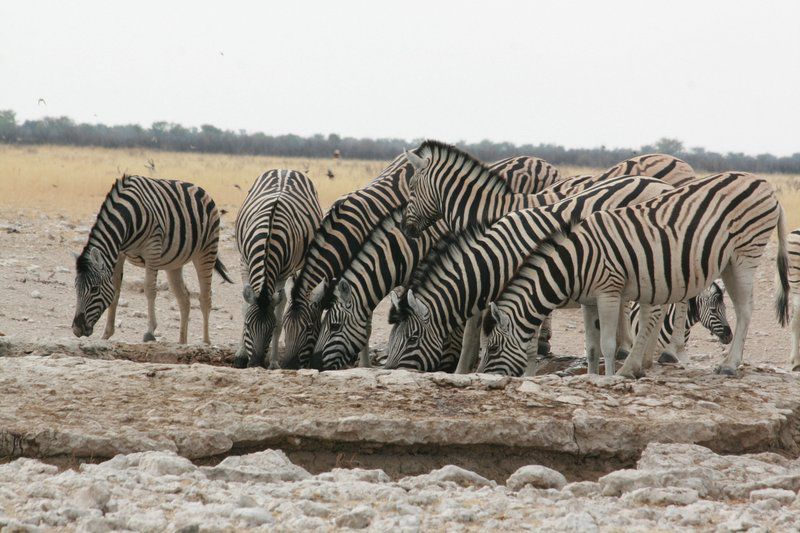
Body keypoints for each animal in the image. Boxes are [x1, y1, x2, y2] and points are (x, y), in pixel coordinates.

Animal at [70, 172, 234, 342]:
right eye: (76, 287)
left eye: (94, 289)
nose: (77, 329)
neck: (127, 216)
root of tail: (203, 191)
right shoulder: (119, 254)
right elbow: (115, 290)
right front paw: (107, 333)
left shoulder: (152, 249)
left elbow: (149, 289)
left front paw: (150, 331)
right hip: (174, 263)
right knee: (185, 300)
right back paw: (182, 343)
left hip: (206, 251)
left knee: (205, 298)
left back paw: (206, 342)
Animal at [236, 168, 324, 368]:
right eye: (247, 326)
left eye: (270, 330)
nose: (255, 365)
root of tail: (286, 169)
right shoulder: (244, 263)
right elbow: (245, 305)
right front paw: (240, 355)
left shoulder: (282, 274)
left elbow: (278, 315)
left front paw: (274, 362)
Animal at [384, 177, 672, 372]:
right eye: (391, 338)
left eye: (412, 339)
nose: (389, 371)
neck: (498, 260)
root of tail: (663, 185)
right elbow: (476, 336)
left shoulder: (529, 291)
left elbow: (522, 343)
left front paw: (524, 374)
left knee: (655, 311)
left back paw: (639, 363)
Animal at [478, 172, 792, 376]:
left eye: (492, 349)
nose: (484, 378)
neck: (575, 261)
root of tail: (765, 186)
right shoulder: (588, 300)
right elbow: (591, 347)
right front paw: (592, 376)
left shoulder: (608, 291)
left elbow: (608, 344)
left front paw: (608, 379)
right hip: (724, 262)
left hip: (744, 256)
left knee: (745, 309)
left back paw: (728, 365)